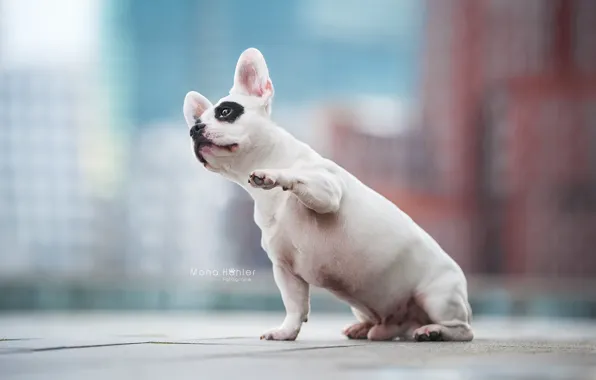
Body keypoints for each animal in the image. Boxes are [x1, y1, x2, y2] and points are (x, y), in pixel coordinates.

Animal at [184, 46, 472, 342]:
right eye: (194, 124)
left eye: (226, 111)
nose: (194, 129)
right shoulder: (285, 269)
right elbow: (295, 306)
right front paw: (286, 332)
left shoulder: (327, 191)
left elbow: (297, 176)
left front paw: (272, 174)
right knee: (383, 324)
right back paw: (365, 328)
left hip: (437, 296)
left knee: (462, 329)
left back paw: (433, 331)